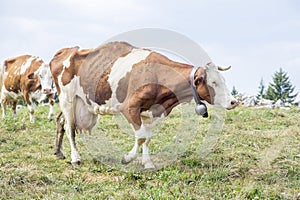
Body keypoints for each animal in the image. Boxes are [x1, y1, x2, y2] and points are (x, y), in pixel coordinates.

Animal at [49, 41, 237, 169]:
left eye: (224, 80)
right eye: (213, 82)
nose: (233, 101)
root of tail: (68, 50)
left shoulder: (152, 113)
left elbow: (147, 138)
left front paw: (147, 163)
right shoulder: (129, 107)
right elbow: (140, 137)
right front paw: (127, 158)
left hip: (78, 102)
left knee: (61, 122)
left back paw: (59, 152)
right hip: (67, 98)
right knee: (70, 128)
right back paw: (75, 157)